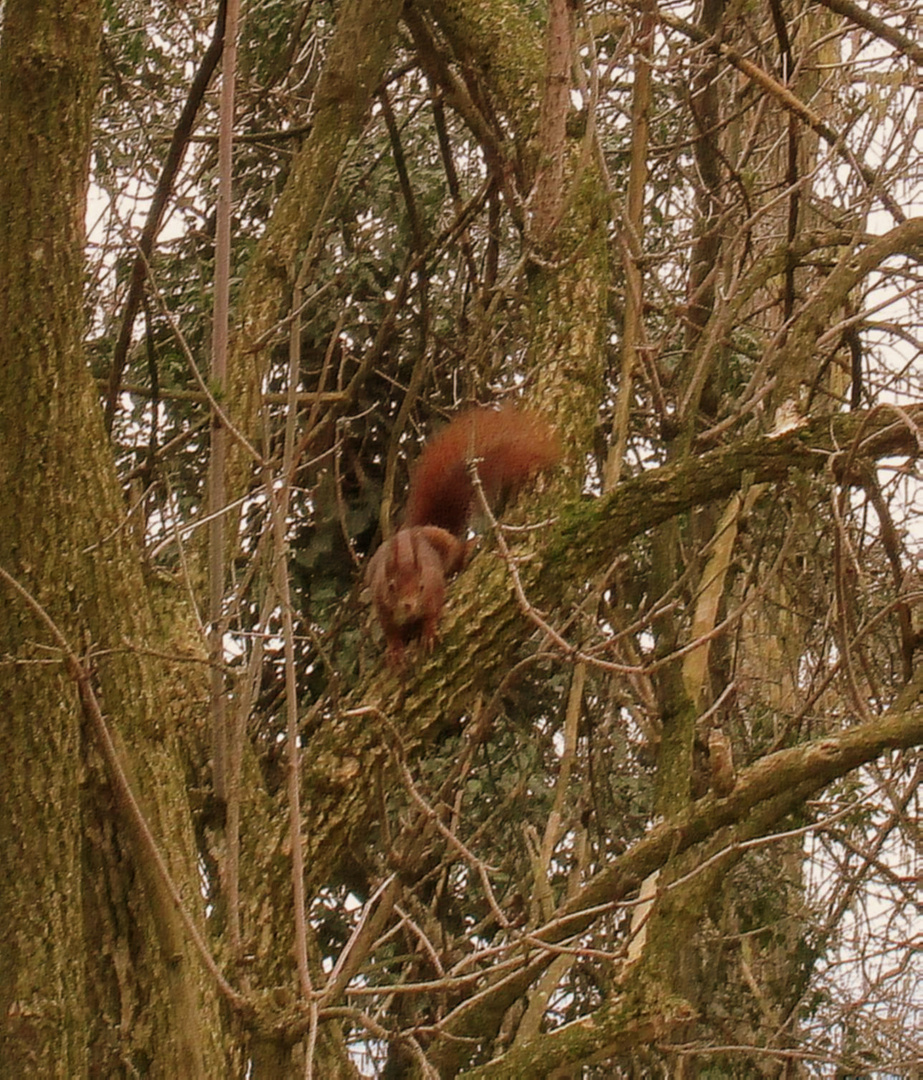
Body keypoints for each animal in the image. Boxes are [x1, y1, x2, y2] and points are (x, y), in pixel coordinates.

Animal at [367, 406, 557, 665]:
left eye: (422, 586)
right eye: (392, 587)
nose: (408, 606)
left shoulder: (434, 587)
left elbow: (434, 610)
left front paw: (429, 630)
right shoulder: (381, 602)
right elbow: (389, 630)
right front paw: (394, 648)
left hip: (444, 543)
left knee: (456, 552)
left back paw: (467, 549)